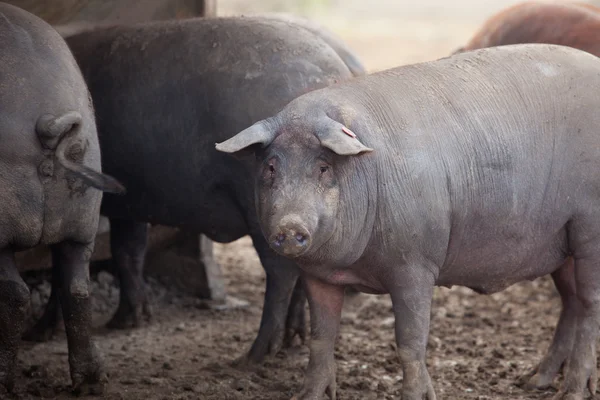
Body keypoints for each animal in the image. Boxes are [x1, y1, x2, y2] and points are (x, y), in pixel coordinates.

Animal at [0, 0, 123, 394]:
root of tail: (48, 120)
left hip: (1, 222)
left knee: (15, 293)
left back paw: (3, 384)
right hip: (83, 215)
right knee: (78, 288)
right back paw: (91, 382)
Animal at [27, 17, 356, 364]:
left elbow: (63, 271)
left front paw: (38, 333)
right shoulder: (129, 205)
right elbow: (128, 251)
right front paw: (129, 320)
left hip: (267, 210)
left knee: (281, 273)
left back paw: (252, 357)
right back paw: (294, 341)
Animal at [218, 43, 600, 400]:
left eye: (323, 168)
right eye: (270, 167)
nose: (290, 228)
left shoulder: (415, 264)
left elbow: (410, 341)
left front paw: (418, 395)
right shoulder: (319, 276)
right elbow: (322, 337)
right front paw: (309, 395)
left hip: (589, 232)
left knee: (589, 306)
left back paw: (572, 391)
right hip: (562, 244)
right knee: (571, 303)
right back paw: (534, 381)